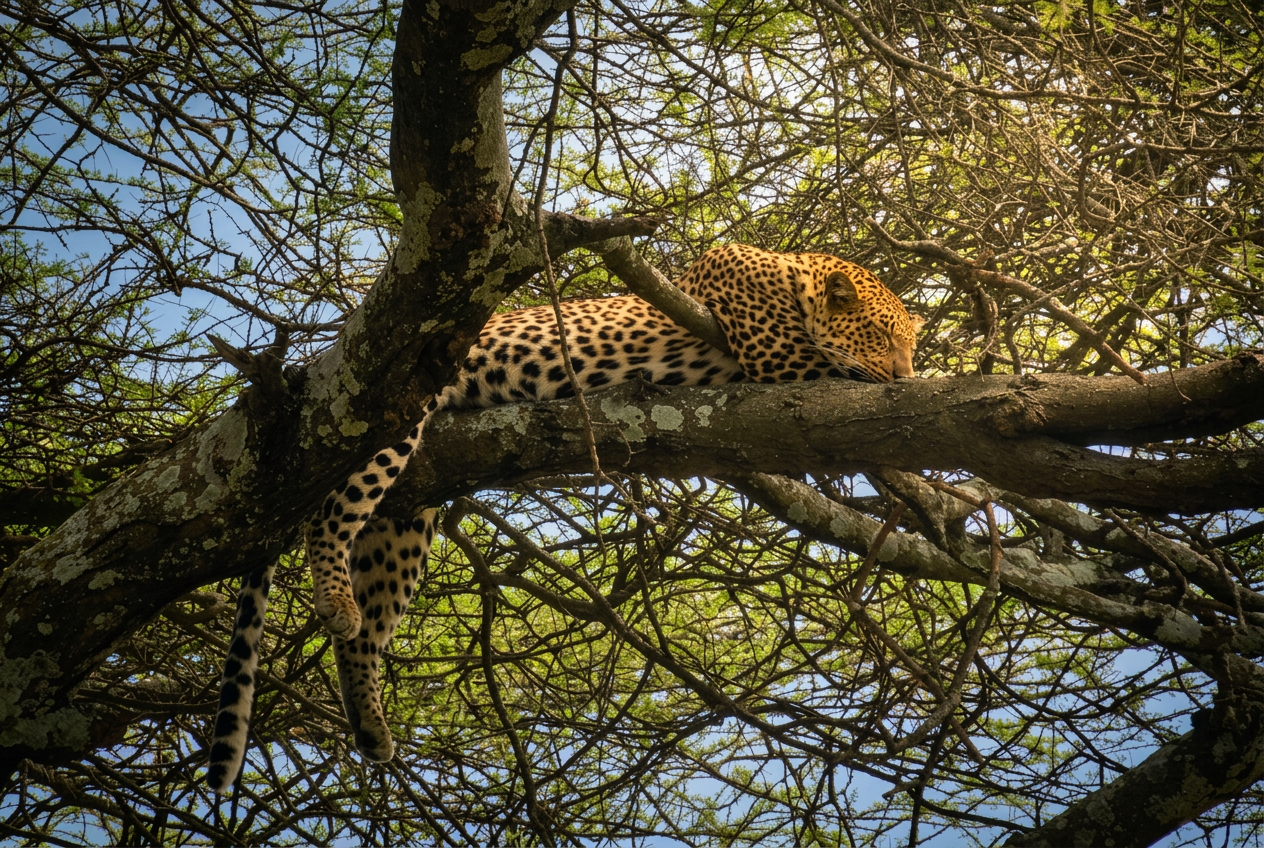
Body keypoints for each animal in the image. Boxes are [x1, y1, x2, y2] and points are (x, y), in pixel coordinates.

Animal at [204, 243, 922, 792]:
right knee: (326, 513)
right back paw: (332, 597)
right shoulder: (775, 353)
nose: (905, 376)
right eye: (886, 336)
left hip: (405, 515)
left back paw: (369, 720)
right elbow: (835, 368)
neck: (794, 276)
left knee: (367, 611)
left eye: (908, 343)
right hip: (383, 416)